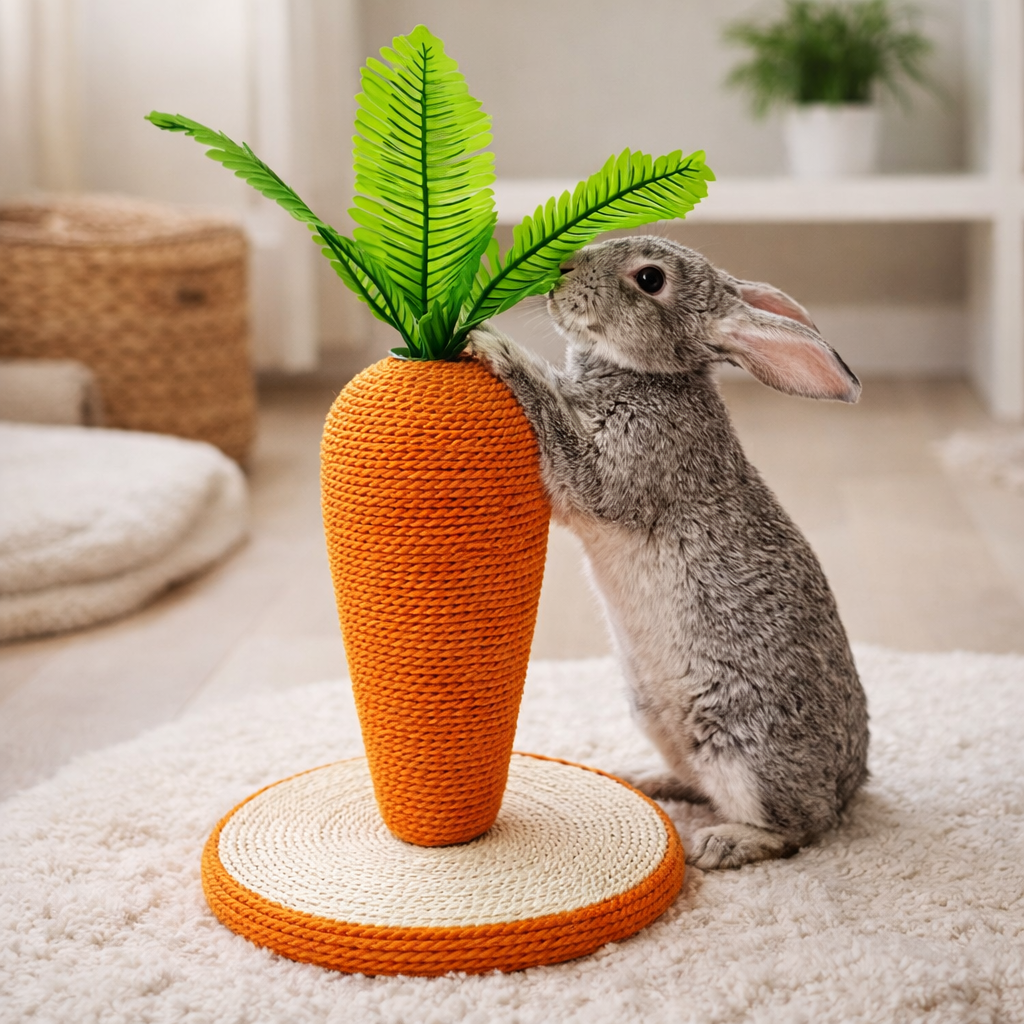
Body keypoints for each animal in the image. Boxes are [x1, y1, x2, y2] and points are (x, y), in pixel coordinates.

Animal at [467, 235, 869, 870]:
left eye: (650, 279)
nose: (563, 268)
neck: (649, 374)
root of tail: (848, 787)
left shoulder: (618, 464)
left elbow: (560, 431)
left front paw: (493, 345)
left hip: (742, 746)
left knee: (801, 827)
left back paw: (723, 842)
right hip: (655, 717)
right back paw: (644, 780)